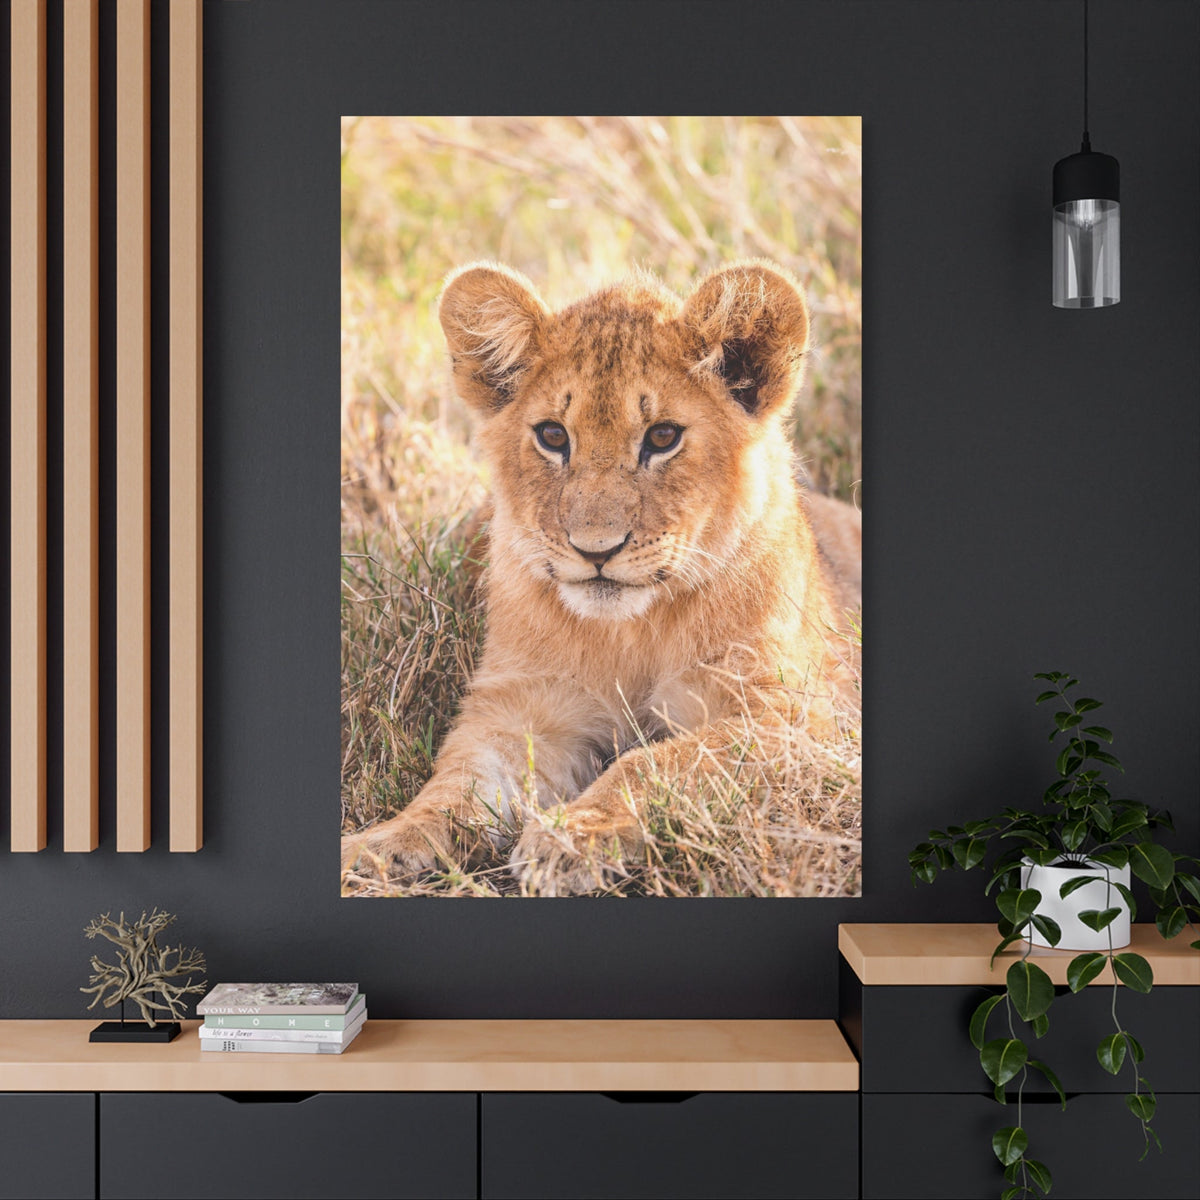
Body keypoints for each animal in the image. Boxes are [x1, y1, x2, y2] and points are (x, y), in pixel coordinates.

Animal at [341, 258, 861, 895]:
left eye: (662, 436)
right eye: (553, 436)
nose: (596, 551)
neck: (630, 633)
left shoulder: (799, 720)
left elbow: (657, 762)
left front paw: (572, 837)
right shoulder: (522, 709)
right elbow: (456, 785)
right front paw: (379, 846)